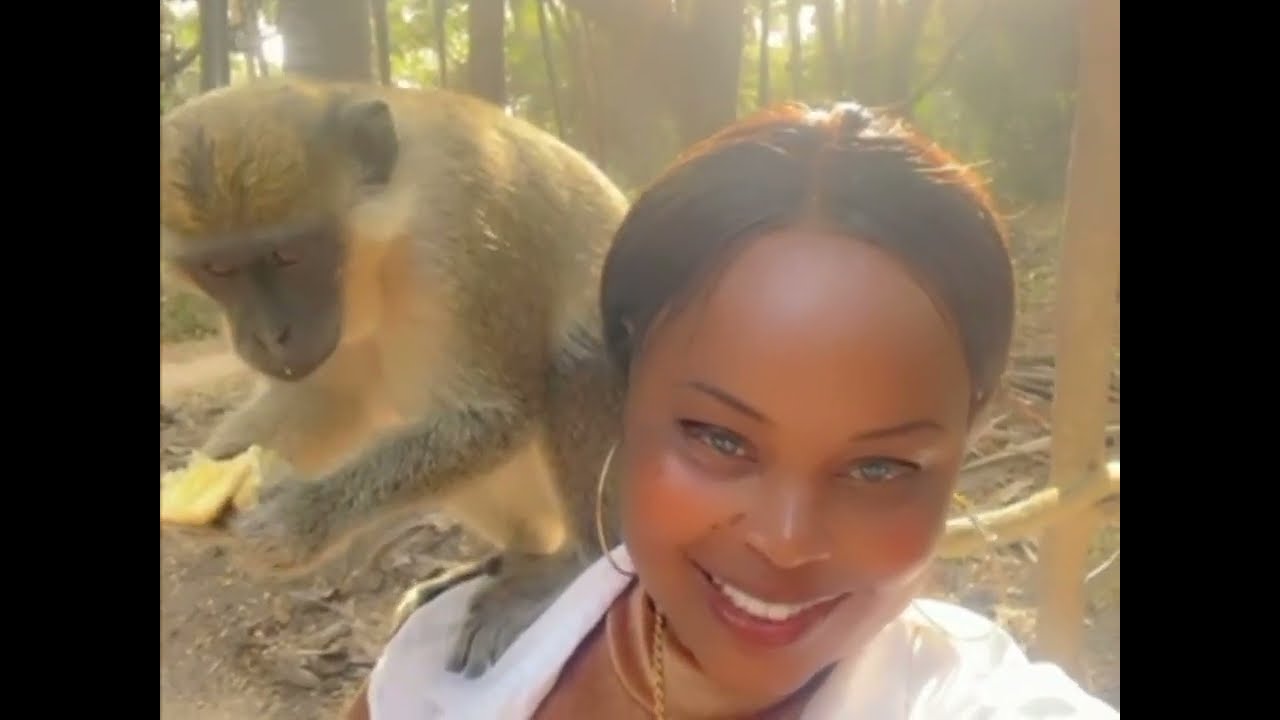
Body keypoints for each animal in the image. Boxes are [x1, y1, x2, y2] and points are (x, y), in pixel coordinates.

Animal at [159, 76, 630, 678]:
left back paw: (575, 561)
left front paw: (297, 520)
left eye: (288, 255)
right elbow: (328, 397)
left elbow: (496, 415)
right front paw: (214, 470)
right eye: (219, 270)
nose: (269, 335)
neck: (380, 248)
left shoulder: (464, 228)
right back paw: (514, 557)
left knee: (577, 356)